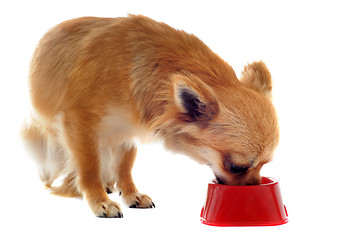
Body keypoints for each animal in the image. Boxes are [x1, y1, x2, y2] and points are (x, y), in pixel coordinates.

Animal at [22, 14, 280, 218]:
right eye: (237, 167)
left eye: (264, 164)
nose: (255, 186)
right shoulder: (80, 125)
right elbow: (89, 167)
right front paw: (99, 201)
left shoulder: (127, 133)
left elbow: (124, 166)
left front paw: (131, 194)